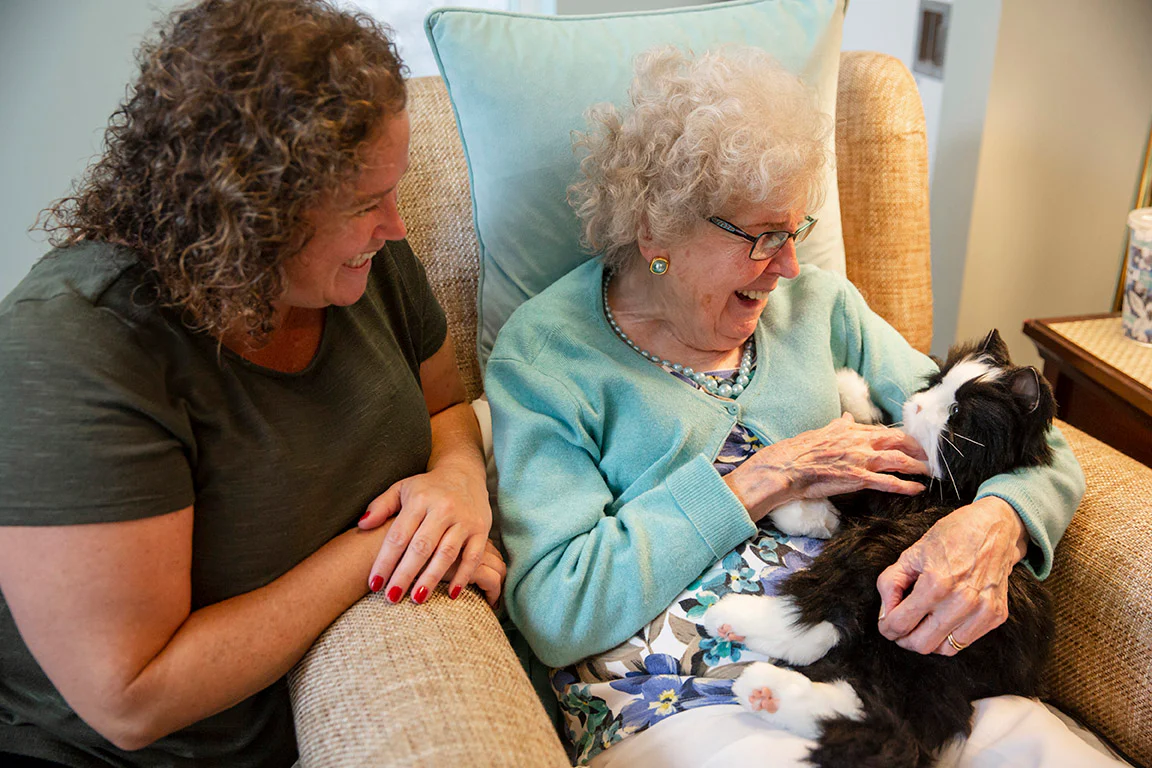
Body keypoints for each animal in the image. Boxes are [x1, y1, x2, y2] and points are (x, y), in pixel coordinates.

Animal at [695, 331, 1055, 768]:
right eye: (937, 382)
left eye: (956, 412)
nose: (916, 404)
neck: (958, 487)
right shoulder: (883, 493)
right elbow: (853, 479)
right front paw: (848, 385)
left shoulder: (893, 505)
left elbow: (857, 484)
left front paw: (788, 503)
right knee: (869, 703)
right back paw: (765, 691)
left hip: (876, 557)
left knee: (818, 614)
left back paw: (735, 628)